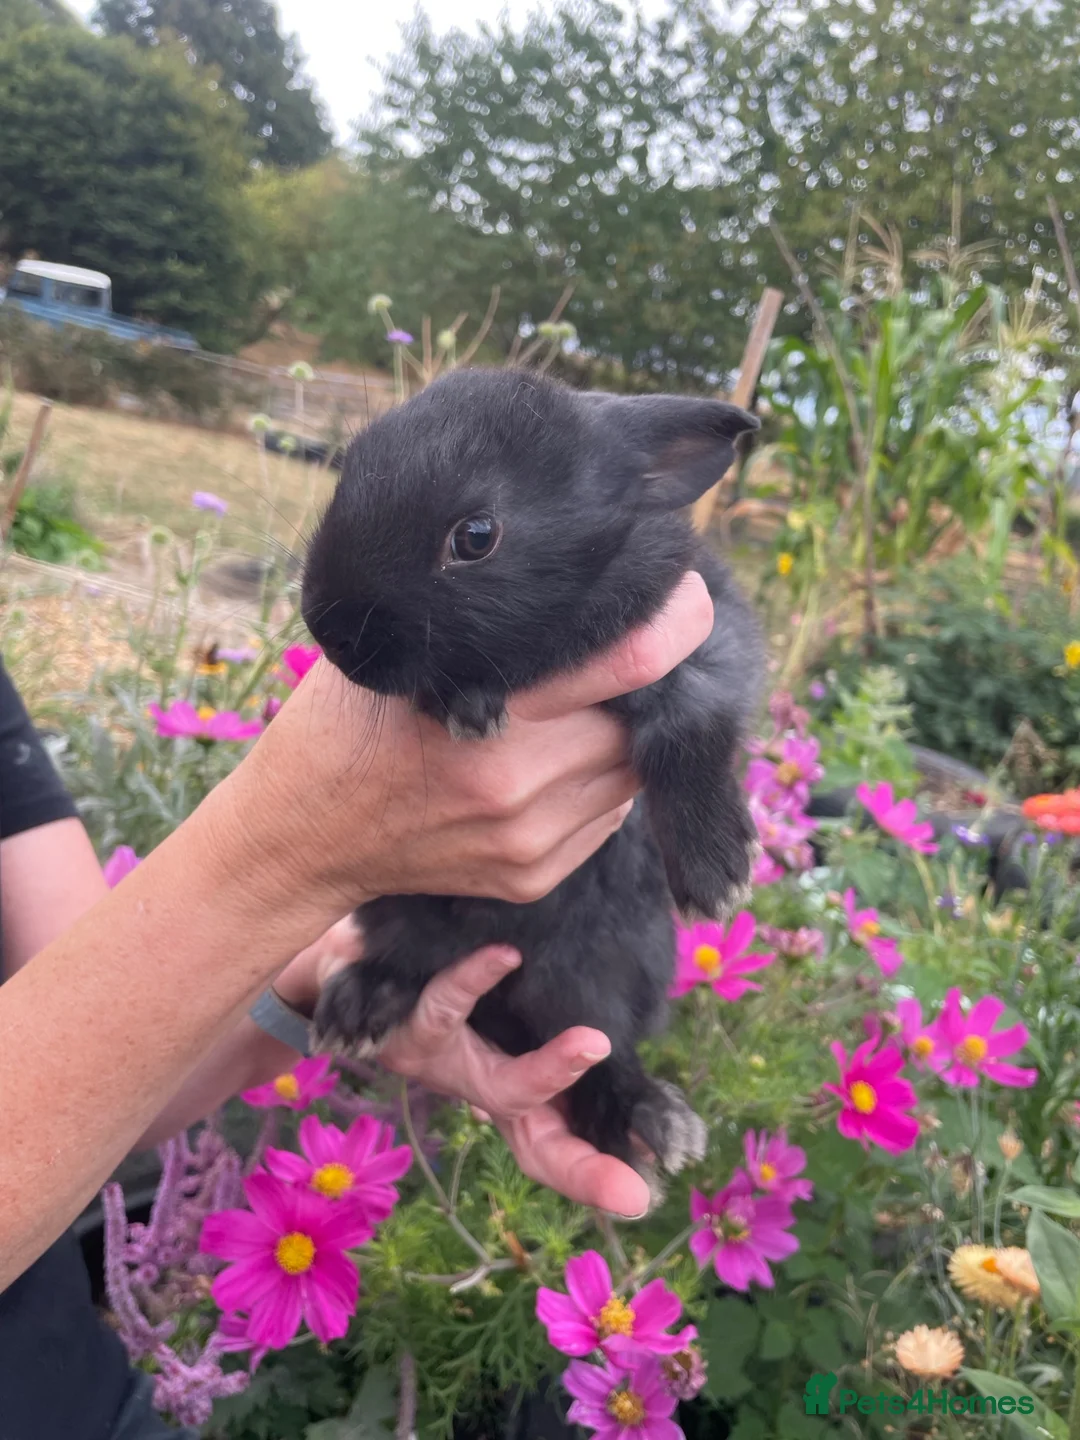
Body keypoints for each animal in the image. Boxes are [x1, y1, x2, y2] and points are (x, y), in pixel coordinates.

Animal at [300, 367, 763, 1185]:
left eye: (476, 537)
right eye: (348, 472)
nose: (328, 632)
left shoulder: (704, 646)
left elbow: (691, 725)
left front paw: (717, 874)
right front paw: (469, 706)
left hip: (594, 972)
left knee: (599, 1050)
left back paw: (650, 1121)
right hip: (404, 917)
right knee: (414, 971)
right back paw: (358, 1004)